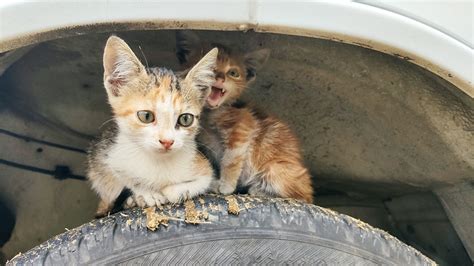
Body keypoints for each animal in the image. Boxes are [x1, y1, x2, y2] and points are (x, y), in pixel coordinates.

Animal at [88, 35, 218, 216]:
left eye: (185, 119)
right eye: (146, 116)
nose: (167, 141)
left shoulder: (203, 165)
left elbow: (204, 179)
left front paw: (176, 191)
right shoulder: (104, 157)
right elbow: (119, 178)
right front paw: (145, 193)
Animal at [176, 31, 312, 203]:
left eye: (233, 73)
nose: (220, 78)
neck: (210, 114)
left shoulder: (243, 128)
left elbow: (230, 161)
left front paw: (226, 187)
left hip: (275, 169)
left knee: (302, 197)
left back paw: (259, 190)